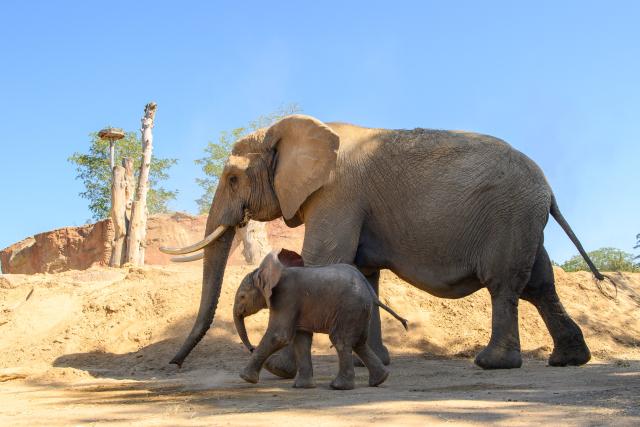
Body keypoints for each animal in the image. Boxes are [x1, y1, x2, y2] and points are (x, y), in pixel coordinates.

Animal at [161, 114, 611, 374]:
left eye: (233, 178)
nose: (173, 365)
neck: (289, 128)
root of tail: (548, 191)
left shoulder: (338, 193)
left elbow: (323, 259)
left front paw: (281, 371)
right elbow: (364, 275)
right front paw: (375, 363)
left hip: (509, 217)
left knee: (504, 285)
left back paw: (493, 364)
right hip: (524, 220)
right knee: (540, 285)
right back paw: (568, 360)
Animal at [233, 248, 408, 390]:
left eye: (242, 296)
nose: (252, 348)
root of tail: (368, 288)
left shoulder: (285, 298)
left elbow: (279, 336)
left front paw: (245, 378)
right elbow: (301, 339)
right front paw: (303, 387)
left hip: (349, 309)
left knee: (340, 340)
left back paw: (338, 387)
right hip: (360, 311)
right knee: (359, 343)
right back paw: (379, 380)